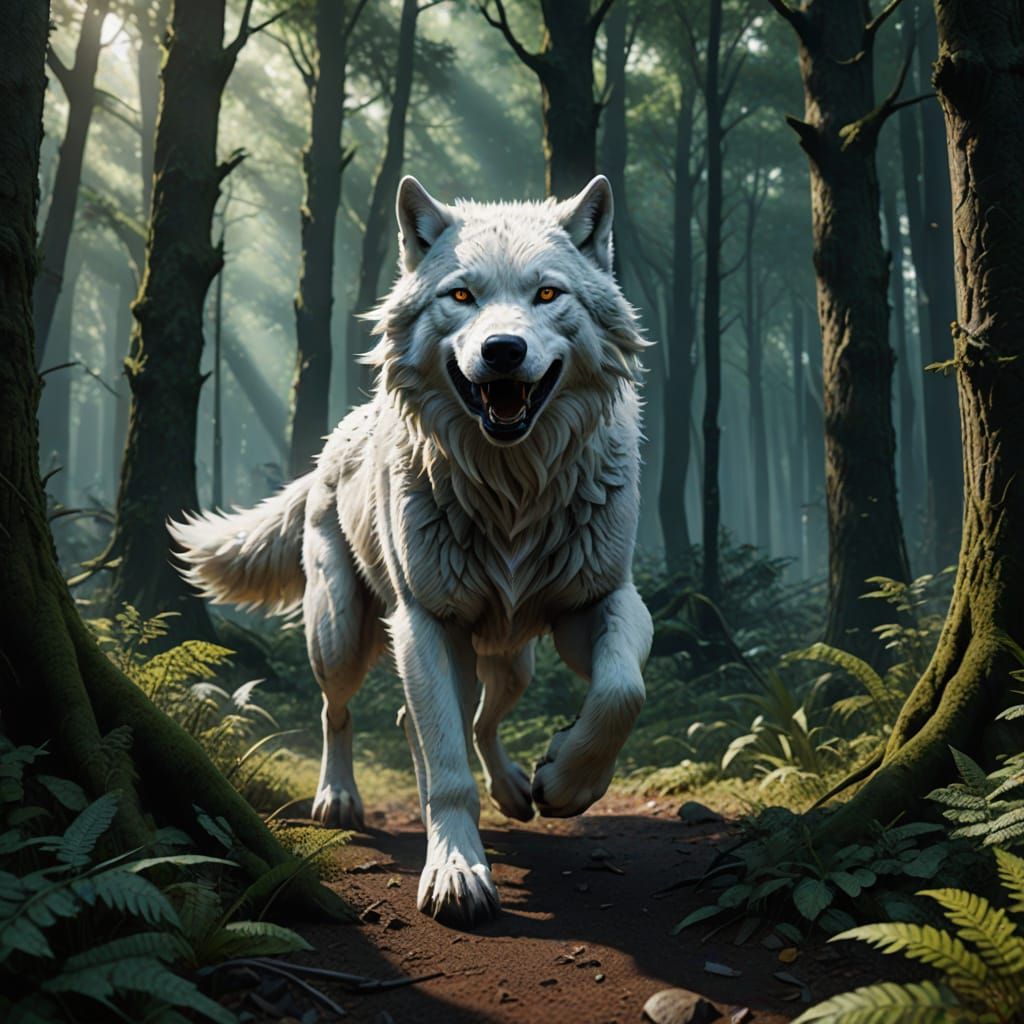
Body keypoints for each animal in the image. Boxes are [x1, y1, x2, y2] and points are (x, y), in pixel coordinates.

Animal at [169, 175, 653, 927]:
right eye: (461, 296)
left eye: (548, 294)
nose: (503, 350)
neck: (513, 490)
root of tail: (336, 436)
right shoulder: (426, 622)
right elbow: (448, 769)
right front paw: (456, 873)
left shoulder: (603, 602)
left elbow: (620, 692)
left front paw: (566, 782)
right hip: (346, 634)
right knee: (348, 712)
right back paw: (341, 798)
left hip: (508, 658)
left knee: (471, 718)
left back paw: (514, 789)